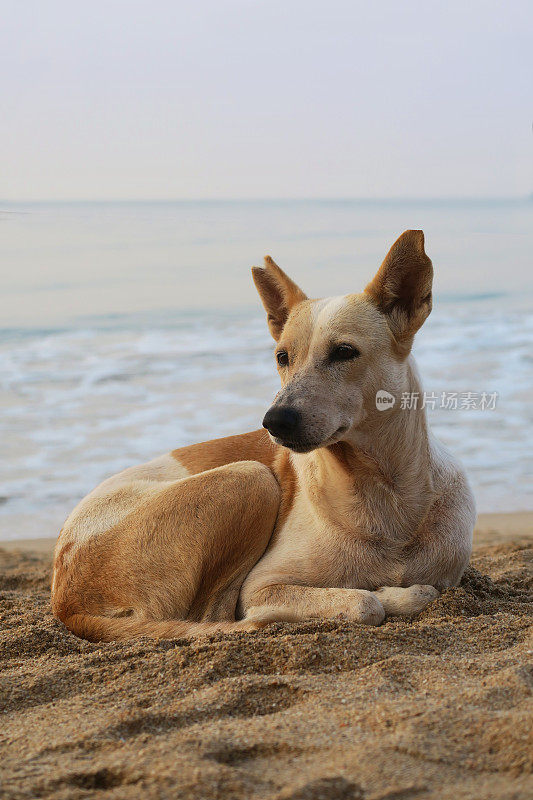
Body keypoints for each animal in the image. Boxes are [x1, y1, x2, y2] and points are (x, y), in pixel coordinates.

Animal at [51, 228, 474, 640]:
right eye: (282, 357)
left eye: (344, 352)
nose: (275, 421)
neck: (383, 495)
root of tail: (65, 603)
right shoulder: (261, 586)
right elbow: (365, 601)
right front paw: (387, 594)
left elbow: (421, 589)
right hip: (250, 477)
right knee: (217, 616)